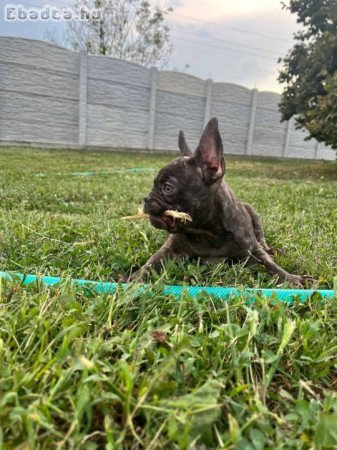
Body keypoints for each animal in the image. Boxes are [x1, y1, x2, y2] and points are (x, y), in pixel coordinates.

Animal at [126, 118, 312, 286]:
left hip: (253, 213)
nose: (147, 199)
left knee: (262, 238)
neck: (206, 231)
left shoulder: (252, 251)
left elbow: (270, 265)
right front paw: (135, 278)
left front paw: (292, 278)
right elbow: (152, 262)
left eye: (167, 188)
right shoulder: (170, 249)